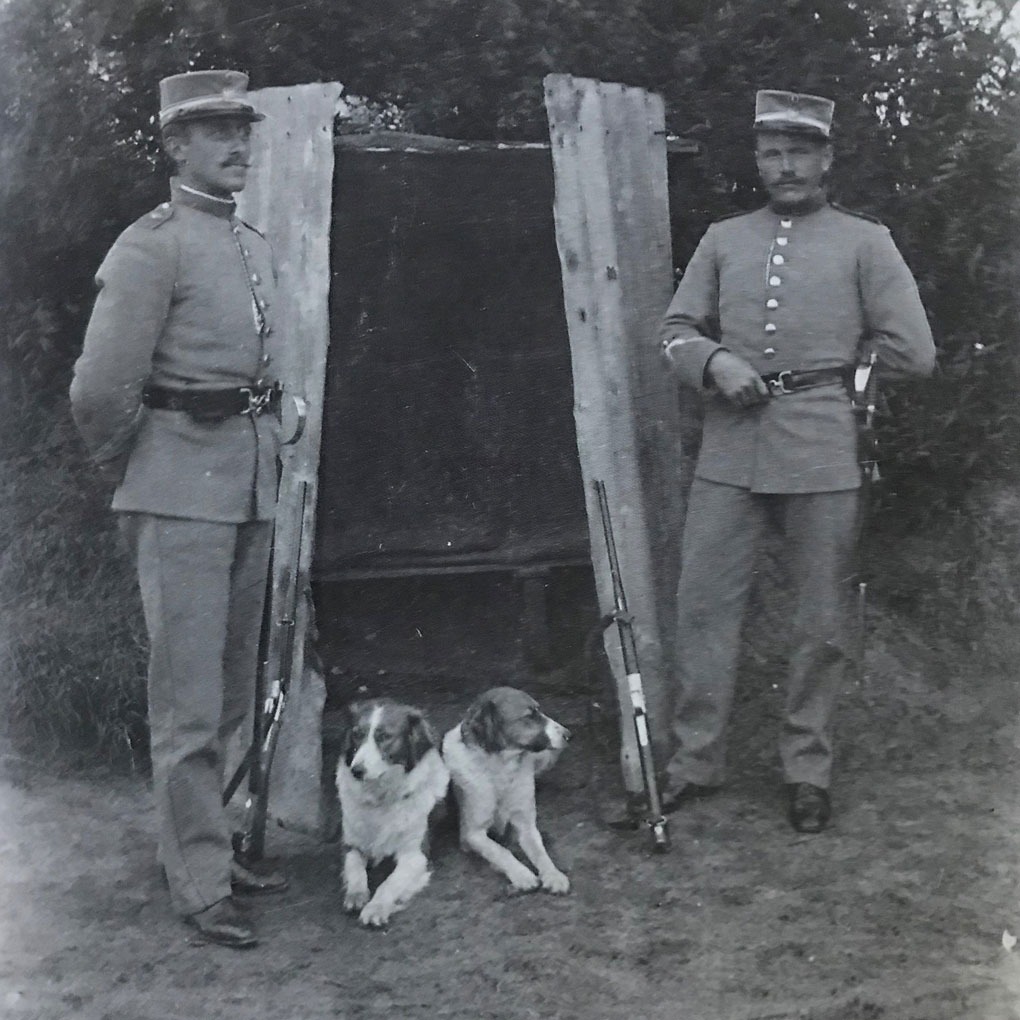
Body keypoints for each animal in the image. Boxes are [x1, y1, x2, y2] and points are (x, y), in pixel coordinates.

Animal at [336, 701, 448, 926]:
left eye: (384, 737)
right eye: (357, 734)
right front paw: (356, 894)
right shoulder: (351, 845)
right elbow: (355, 869)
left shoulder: (415, 855)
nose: (356, 771)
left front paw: (376, 907)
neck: (381, 797)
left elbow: (389, 883)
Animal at [444, 685, 575, 893]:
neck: (501, 768)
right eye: (529, 715)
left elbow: (540, 853)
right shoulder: (471, 833)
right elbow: (499, 850)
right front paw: (522, 875)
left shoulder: (526, 824)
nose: (569, 734)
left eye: (539, 710)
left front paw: (553, 875)